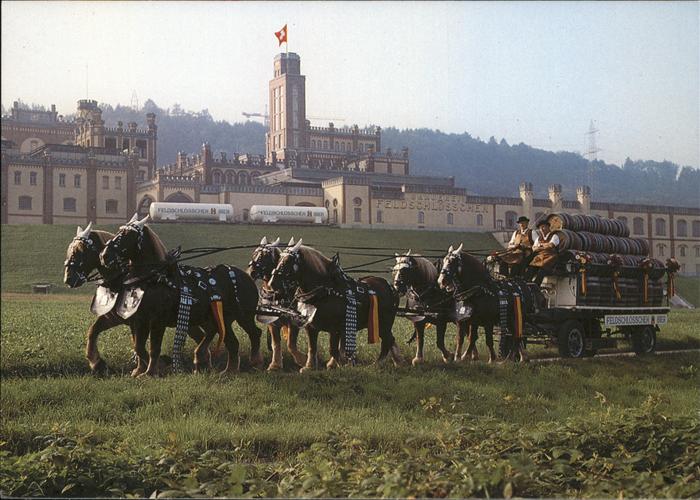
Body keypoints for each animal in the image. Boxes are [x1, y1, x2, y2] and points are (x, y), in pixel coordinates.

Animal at [98, 215, 262, 376]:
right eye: (119, 231)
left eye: (127, 234)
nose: (104, 255)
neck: (155, 278)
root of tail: (247, 276)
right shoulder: (142, 320)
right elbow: (138, 347)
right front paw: (143, 370)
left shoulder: (158, 321)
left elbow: (154, 348)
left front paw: (150, 372)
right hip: (224, 319)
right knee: (230, 342)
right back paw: (228, 370)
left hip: (243, 316)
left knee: (255, 333)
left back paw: (254, 361)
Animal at [266, 238, 400, 368]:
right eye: (279, 258)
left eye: (288, 260)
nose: (272, 283)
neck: (324, 292)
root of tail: (391, 288)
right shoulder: (311, 326)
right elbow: (312, 347)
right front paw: (309, 366)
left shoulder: (335, 328)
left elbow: (333, 349)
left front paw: (338, 365)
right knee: (390, 340)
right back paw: (397, 362)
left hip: (383, 324)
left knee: (387, 341)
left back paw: (379, 364)